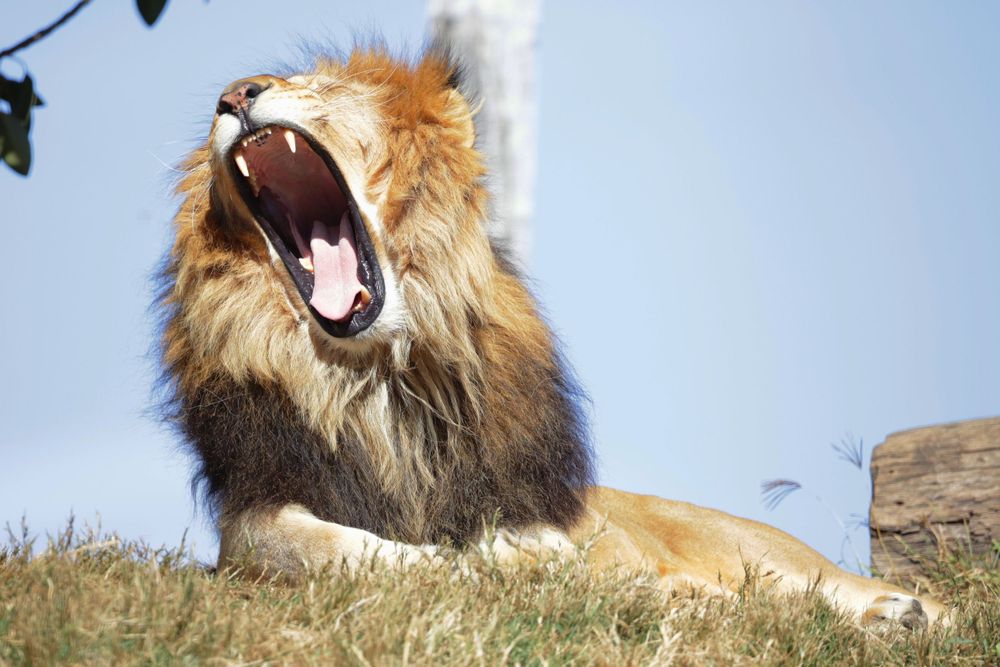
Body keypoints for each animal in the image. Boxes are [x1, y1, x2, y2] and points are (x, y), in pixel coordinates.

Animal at [160, 46, 943, 630]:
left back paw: (899, 612)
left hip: (772, 553)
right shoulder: (254, 516)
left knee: (844, 591)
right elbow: (315, 547)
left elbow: (585, 562)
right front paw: (446, 564)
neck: (380, 374)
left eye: (322, 85)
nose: (235, 94)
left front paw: (518, 560)